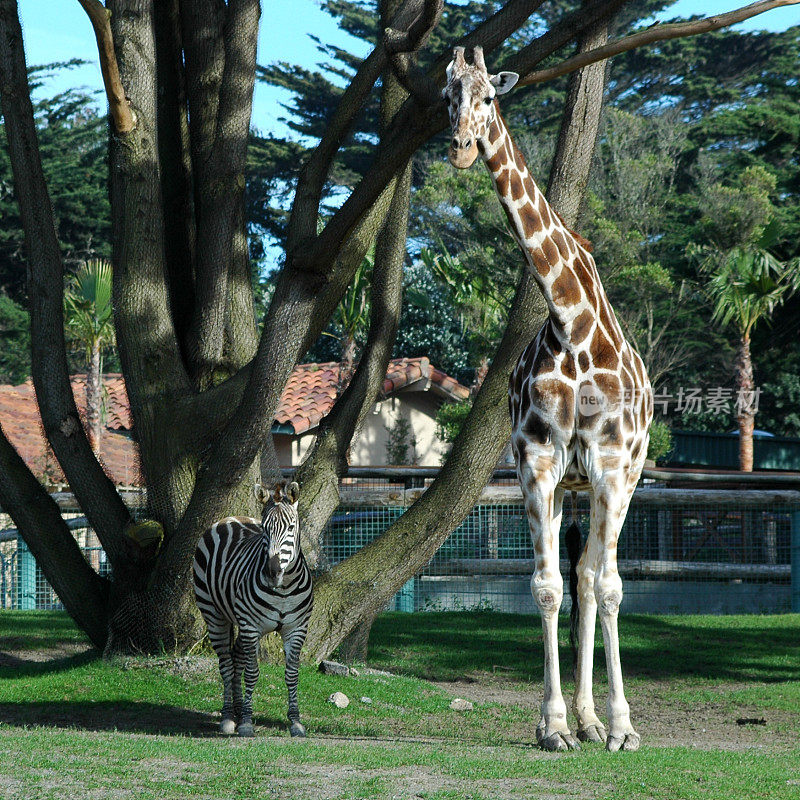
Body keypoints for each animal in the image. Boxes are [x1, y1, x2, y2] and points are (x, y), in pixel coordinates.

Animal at [194, 482, 312, 736]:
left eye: (291, 527)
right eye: (264, 530)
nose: (272, 572)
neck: (283, 589)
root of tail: (229, 518)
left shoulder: (297, 628)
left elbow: (292, 674)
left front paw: (295, 721)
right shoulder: (250, 626)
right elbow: (252, 672)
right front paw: (247, 722)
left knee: (236, 658)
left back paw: (238, 712)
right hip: (214, 615)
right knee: (227, 665)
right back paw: (230, 717)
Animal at [440, 47, 652, 752]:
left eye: (490, 96)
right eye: (448, 95)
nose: (461, 148)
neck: (569, 320)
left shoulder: (611, 465)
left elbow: (609, 588)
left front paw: (623, 727)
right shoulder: (537, 464)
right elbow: (546, 588)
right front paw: (554, 725)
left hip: (626, 478)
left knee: (595, 578)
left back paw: (603, 722)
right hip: (568, 484)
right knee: (575, 577)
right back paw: (582, 720)